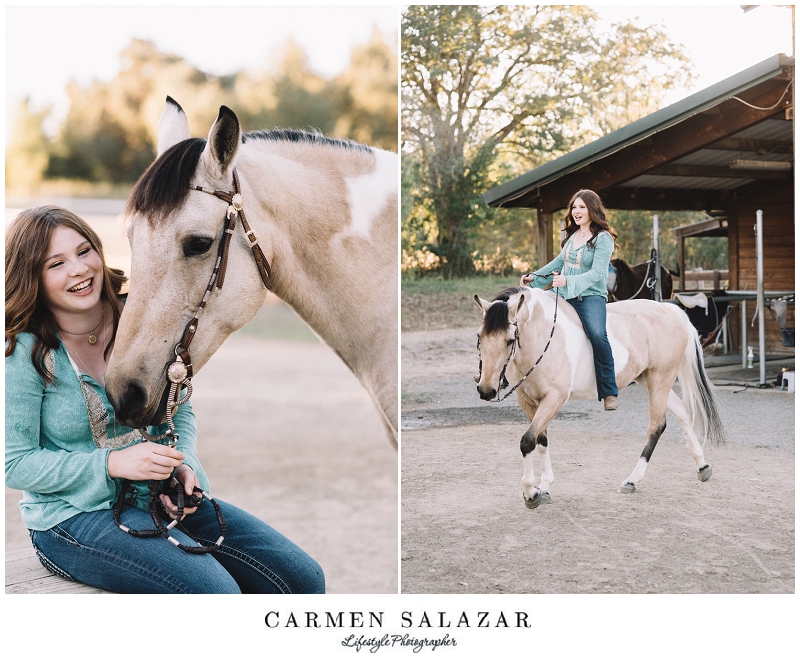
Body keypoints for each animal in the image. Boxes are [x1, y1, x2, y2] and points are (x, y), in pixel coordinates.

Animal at [476, 286, 724, 508]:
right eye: (479, 337)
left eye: (510, 340)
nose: (486, 390)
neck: (543, 336)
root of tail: (672, 311)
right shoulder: (527, 400)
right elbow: (540, 439)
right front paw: (544, 487)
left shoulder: (555, 398)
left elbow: (528, 440)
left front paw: (530, 493)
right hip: (650, 380)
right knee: (682, 412)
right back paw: (703, 467)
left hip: (660, 379)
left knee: (656, 426)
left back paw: (631, 481)